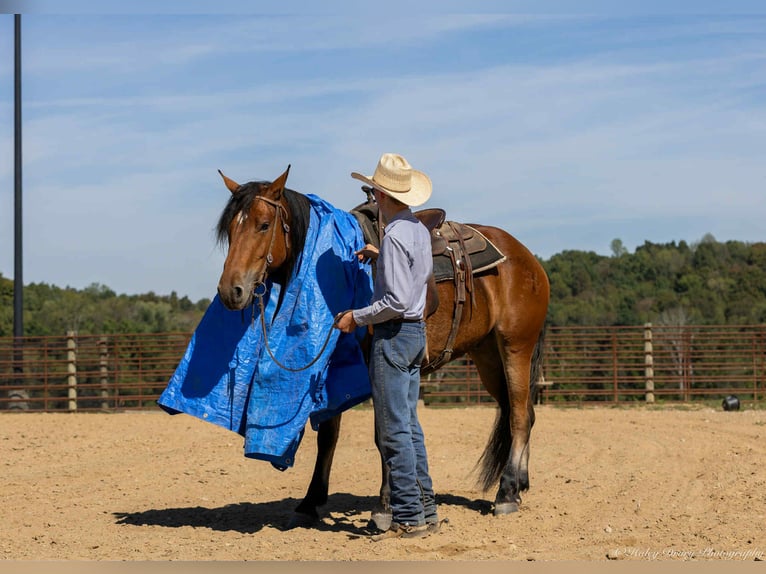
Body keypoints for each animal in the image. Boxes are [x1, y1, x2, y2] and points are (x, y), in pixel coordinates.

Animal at [214, 165, 550, 527]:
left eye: (263, 225)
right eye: (230, 228)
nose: (231, 291)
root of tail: (528, 260)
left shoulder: (376, 367)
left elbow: (382, 434)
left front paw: (385, 506)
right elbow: (328, 434)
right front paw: (311, 501)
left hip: (515, 347)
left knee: (519, 415)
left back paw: (506, 493)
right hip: (487, 356)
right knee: (523, 412)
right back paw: (520, 484)